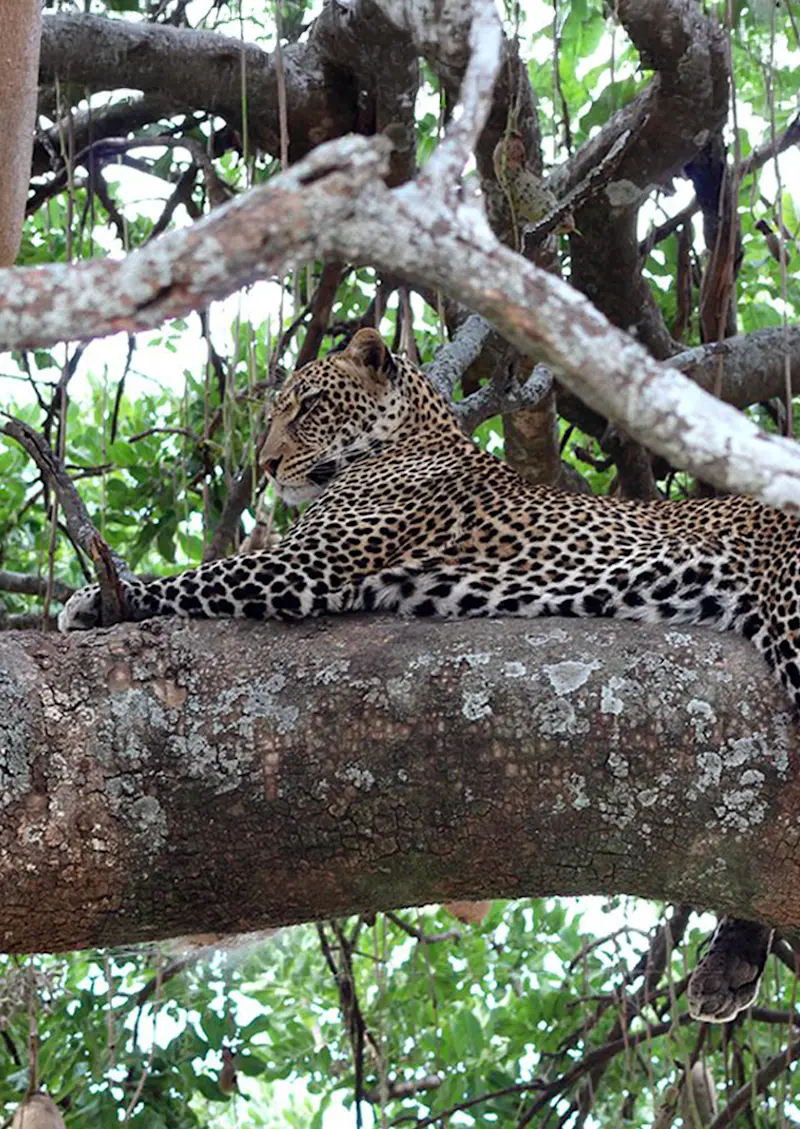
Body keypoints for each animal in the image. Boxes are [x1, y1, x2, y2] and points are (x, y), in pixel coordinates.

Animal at [59, 326, 798, 1023]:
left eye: (309, 407)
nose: (266, 465)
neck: (413, 434)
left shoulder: (303, 567)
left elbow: (193, 578)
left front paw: (94, 599)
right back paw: (730, 963)